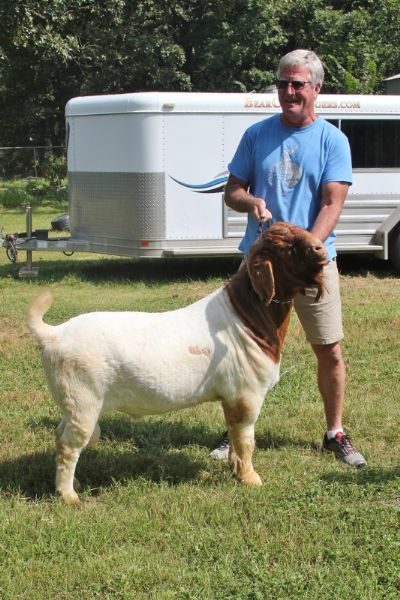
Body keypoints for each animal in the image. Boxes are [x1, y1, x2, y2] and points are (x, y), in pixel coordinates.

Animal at [26, 223, 326, 504]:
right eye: (286, 248)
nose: (321, 249)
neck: (247, 316)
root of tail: (55, 333)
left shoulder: (230, 399)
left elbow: (234, 437)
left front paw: (235, 470)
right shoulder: (246, 396)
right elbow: (245, 441)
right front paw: (250, 479)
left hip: (72, 403)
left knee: (60, 434)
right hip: (84, 403)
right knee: (68, 446)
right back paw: (68, 495)